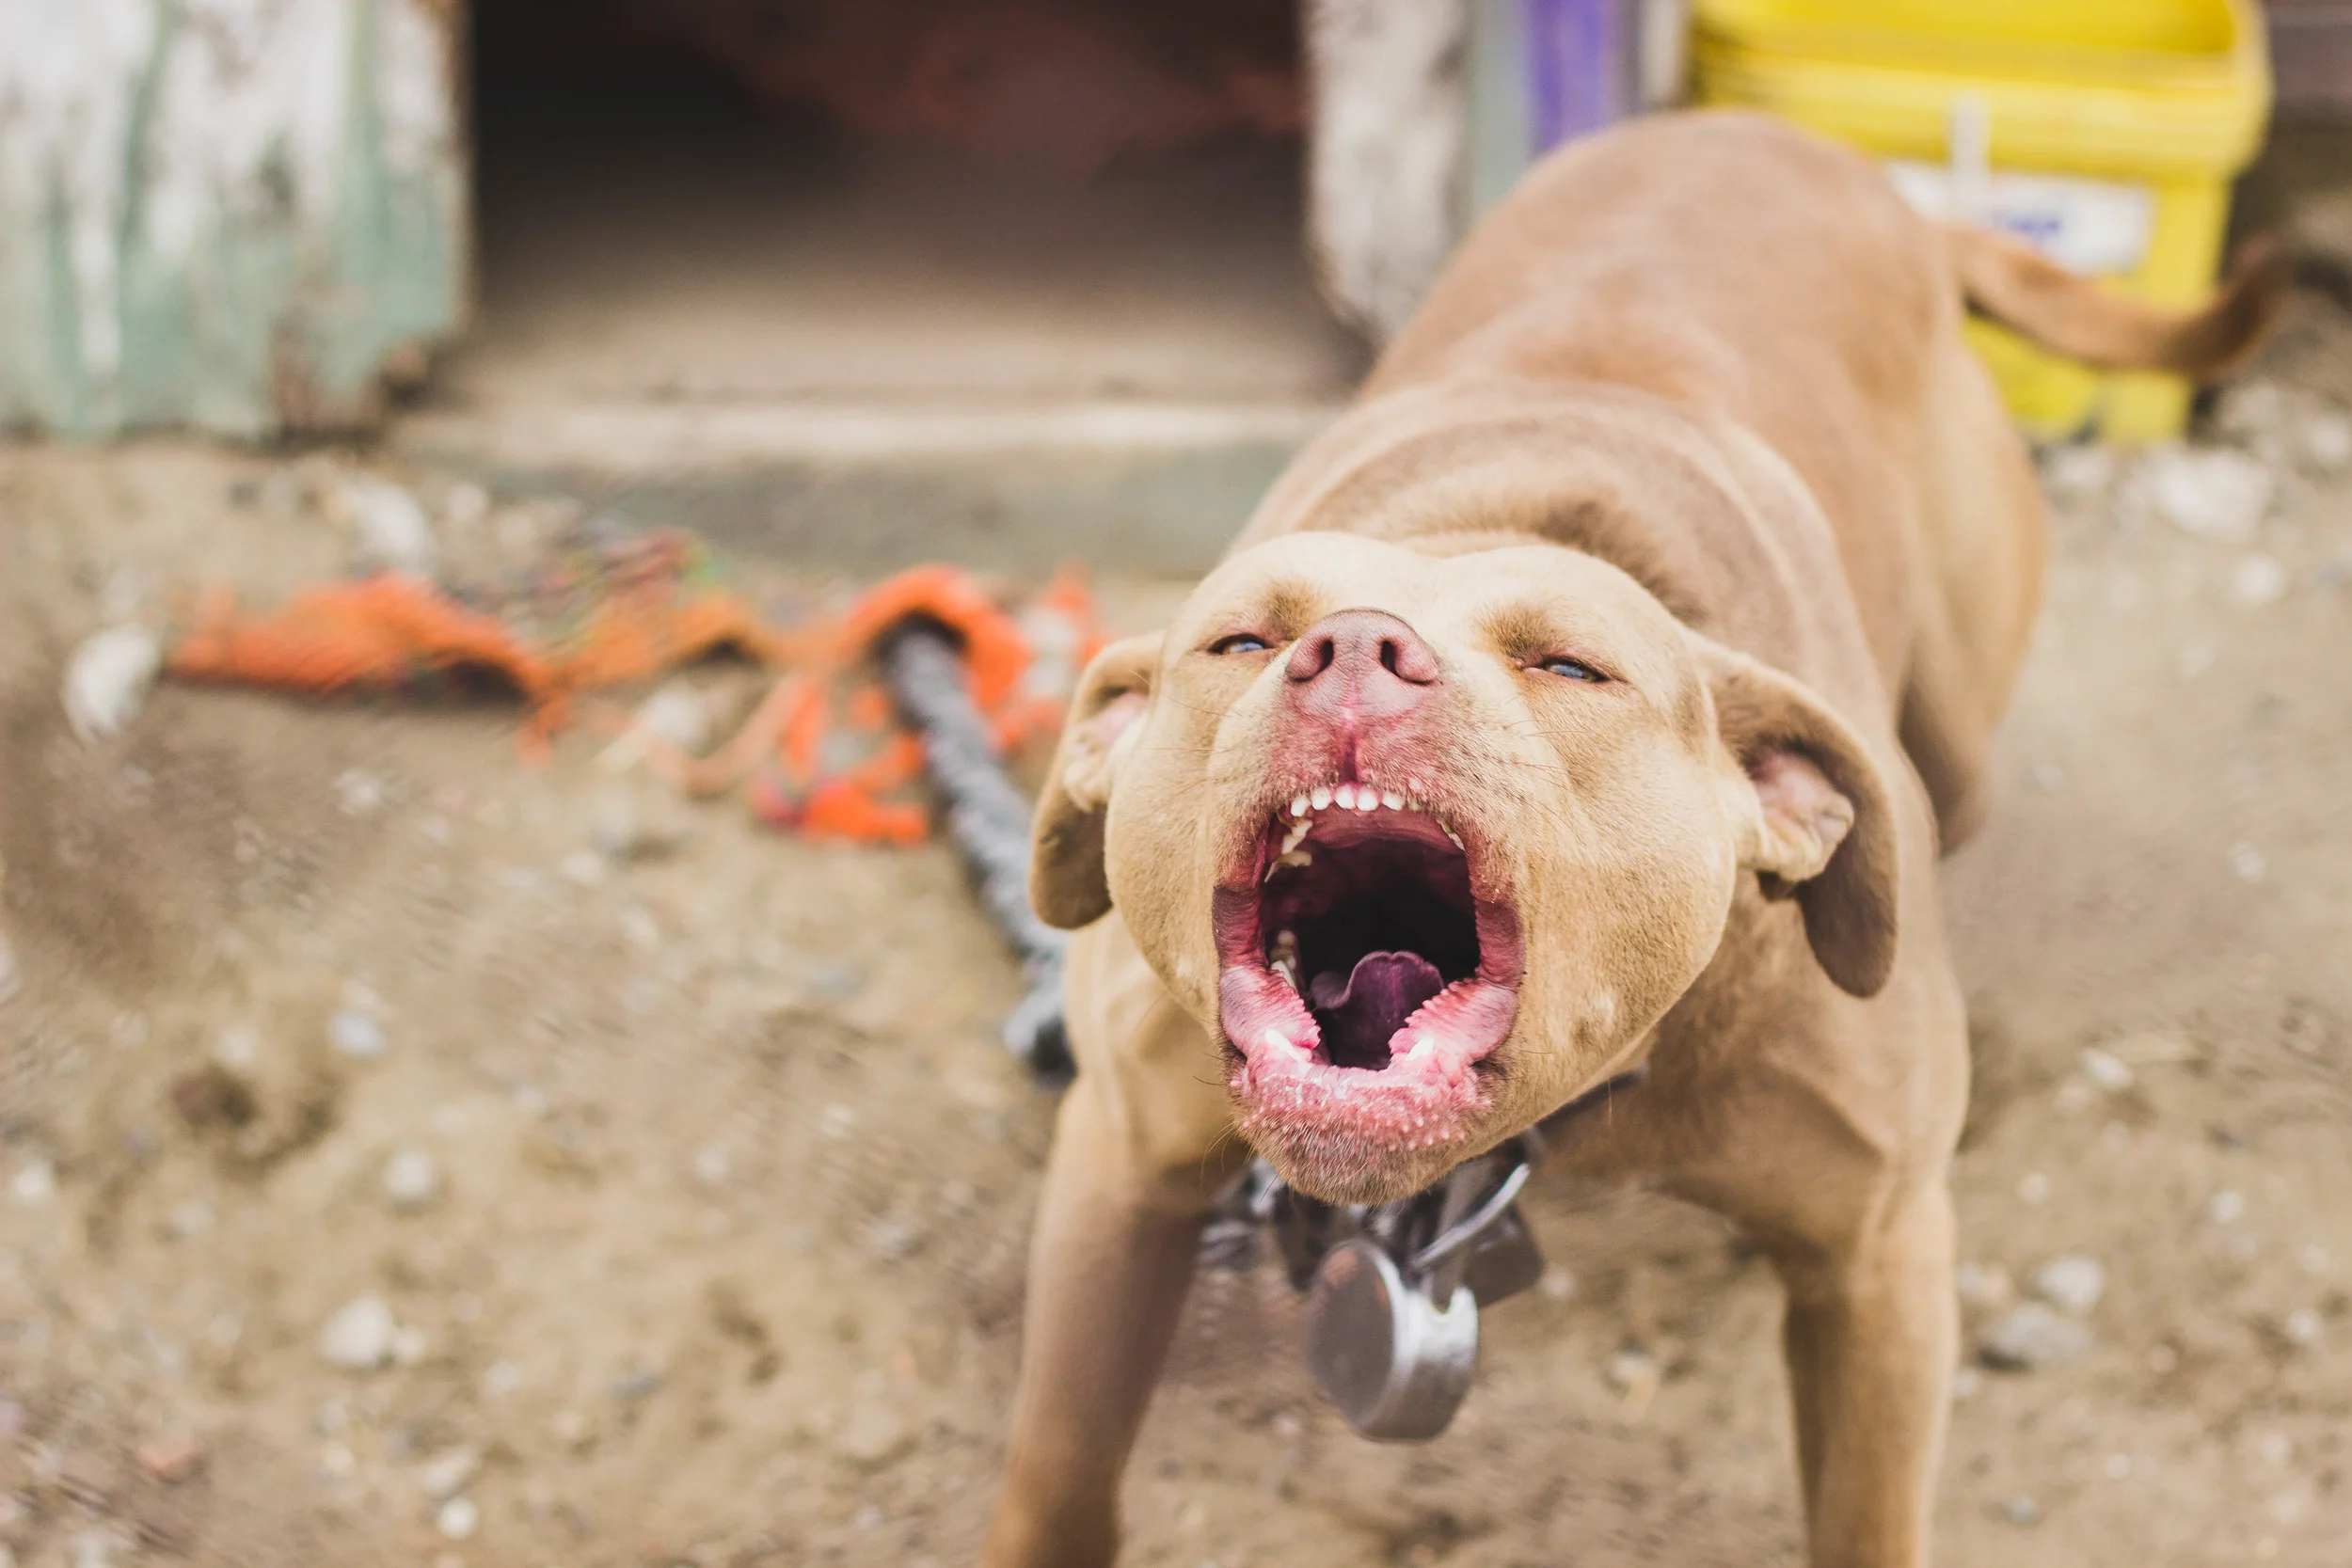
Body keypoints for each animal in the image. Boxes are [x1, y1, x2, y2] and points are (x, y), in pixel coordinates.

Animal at [982, 111, 2281, 1567]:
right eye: (1243, 640)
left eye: (1571, 666)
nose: (1357, 645)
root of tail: (1812, 153)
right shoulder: (1120, 1162)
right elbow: (1062, 1466)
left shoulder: (1879, 1262)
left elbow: (1868, 1511)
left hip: (1958, 735)